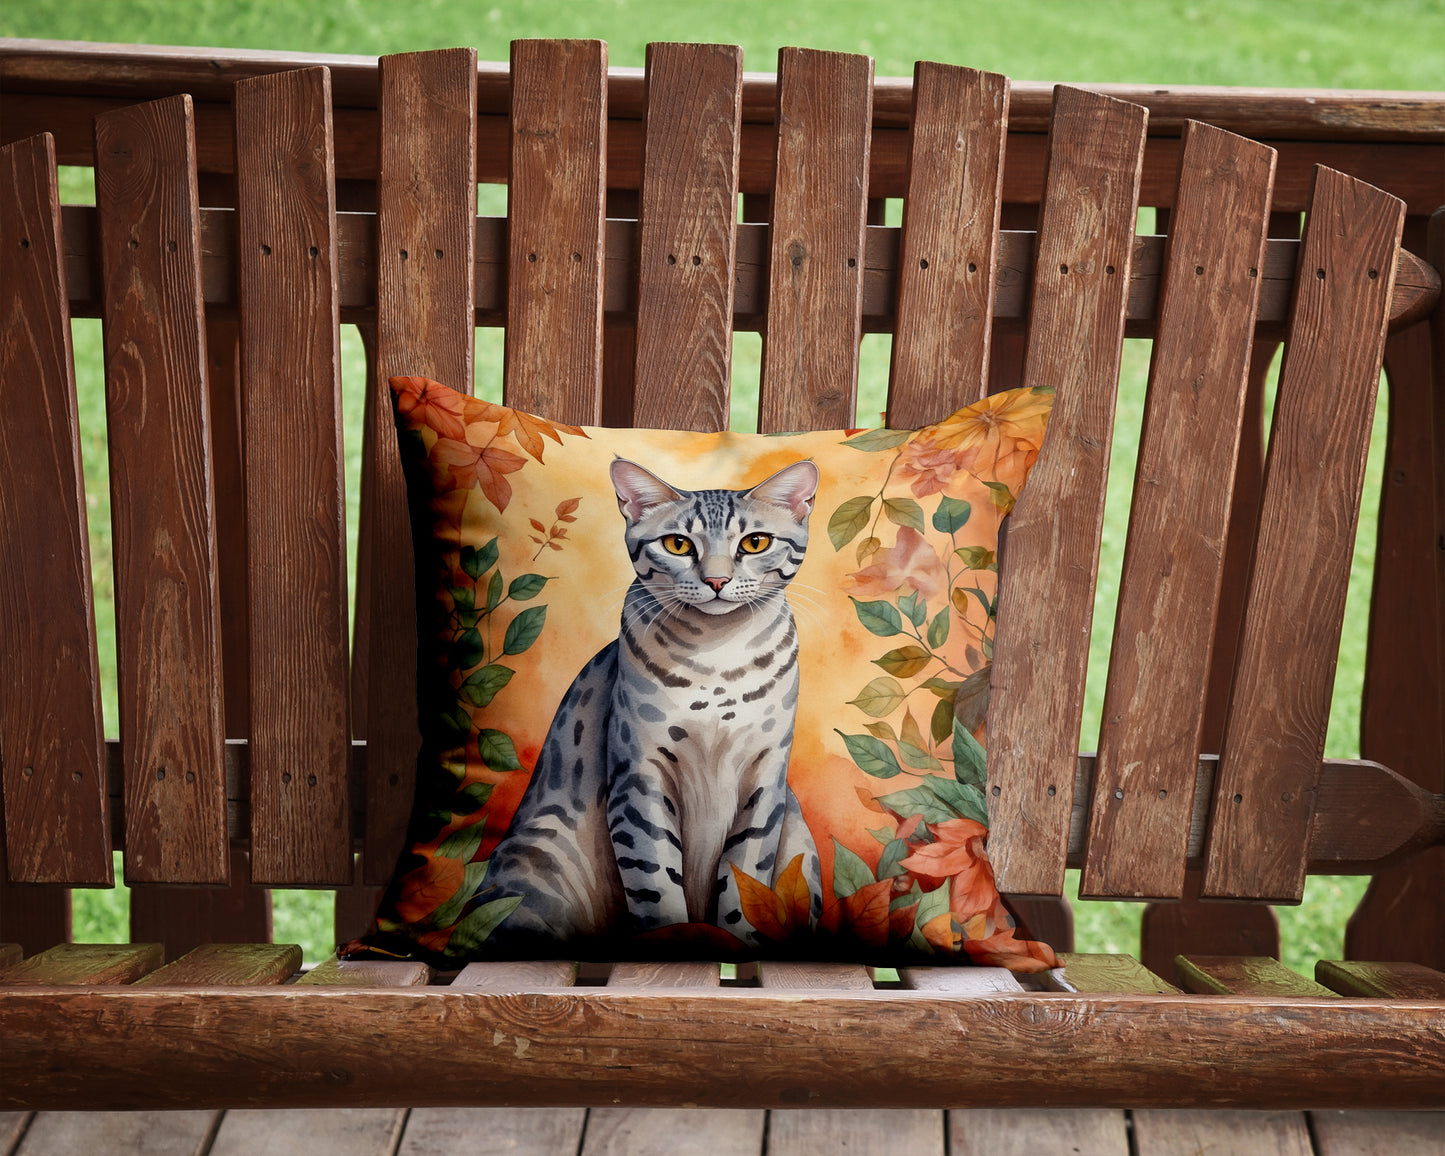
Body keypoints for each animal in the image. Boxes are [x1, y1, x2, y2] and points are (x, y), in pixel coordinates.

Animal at [346, 375, 1063, 971]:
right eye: (677, 544)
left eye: (754, 542)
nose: (717, 580)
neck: (718, 663)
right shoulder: (640, 777)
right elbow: (657, 886)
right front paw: (676, 939)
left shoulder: (763, 780)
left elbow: (741, 877)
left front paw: (736, 941)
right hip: (541, 857)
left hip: (799, 839)